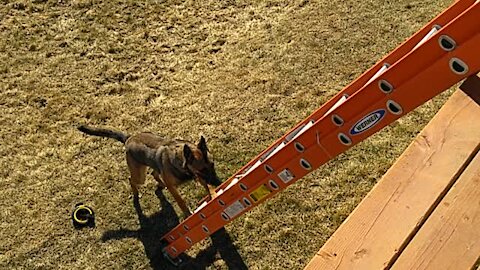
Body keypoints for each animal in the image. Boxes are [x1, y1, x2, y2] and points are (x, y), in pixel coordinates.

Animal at [78, 125, 222, 216]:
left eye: (212, 165)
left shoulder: (199, 177)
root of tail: (128, 138)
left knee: (154, 172)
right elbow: (181, 201)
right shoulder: (174, 186)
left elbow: (207, 186)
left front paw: (213, 194)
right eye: (202, 169)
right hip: (140, 176)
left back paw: (160, 184)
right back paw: (136, 195)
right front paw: (187, 213)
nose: (218, 183)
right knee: (131, 179)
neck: (181, 160)